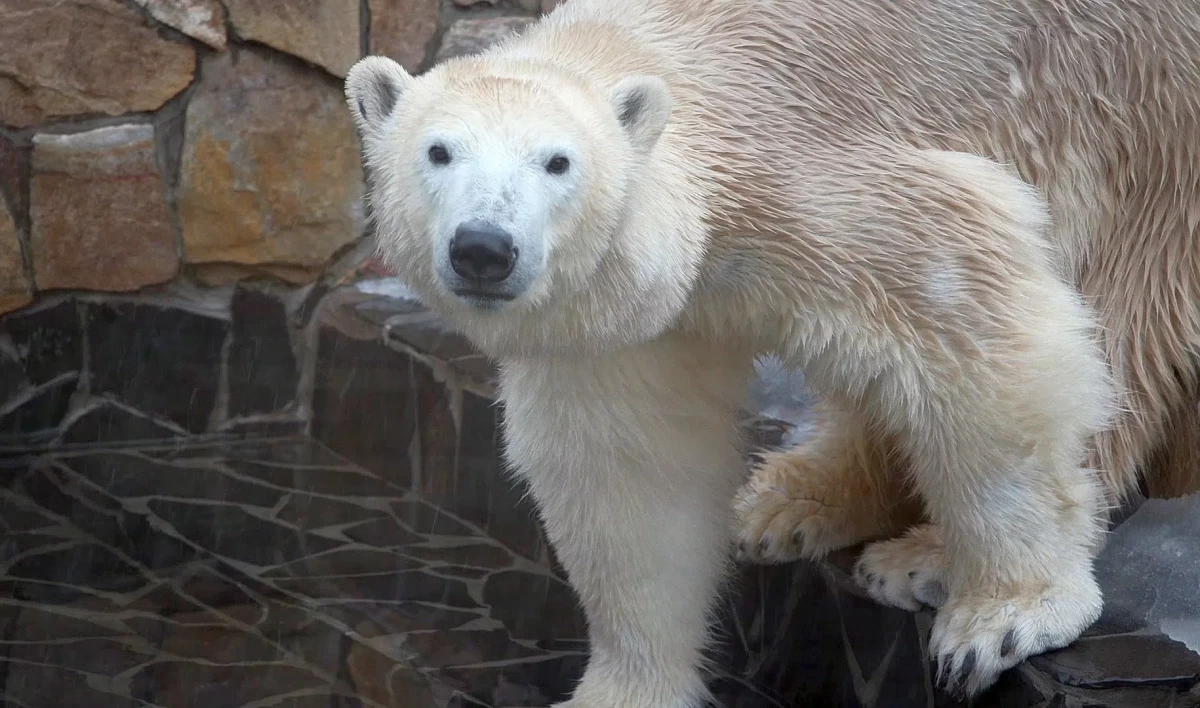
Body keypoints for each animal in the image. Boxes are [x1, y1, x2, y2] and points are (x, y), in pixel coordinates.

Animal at [345, 1, 1200, 705]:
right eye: (438, 152)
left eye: (557, 161)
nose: (484, 248)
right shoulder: (625, 316)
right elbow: (632, 472)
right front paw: (628, 687)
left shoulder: (816, 175)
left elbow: (972, 310)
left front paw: (1006, 615)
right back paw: (794, 503)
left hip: (1147, 116)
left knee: (1117, 307)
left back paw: (920, 556)